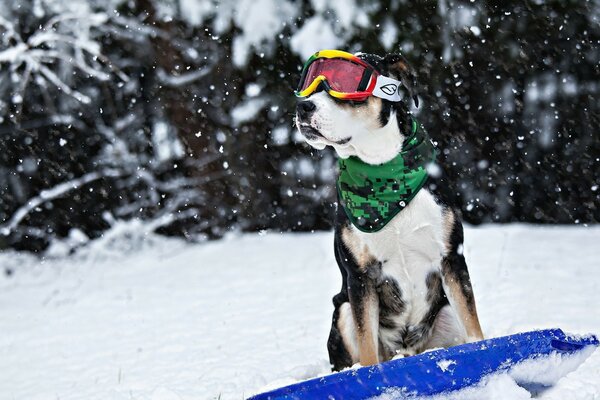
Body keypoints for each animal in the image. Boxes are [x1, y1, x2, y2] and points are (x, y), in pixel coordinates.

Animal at [292, 50, 486, 372]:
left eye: (346, 82)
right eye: (309, 83)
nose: (303, 106)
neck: (383, 170)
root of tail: (406, 351)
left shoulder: (451, 258)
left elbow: (474, 328)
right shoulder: (361, 276)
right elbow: (368, 345)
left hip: (444, 313)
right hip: (343, 310)